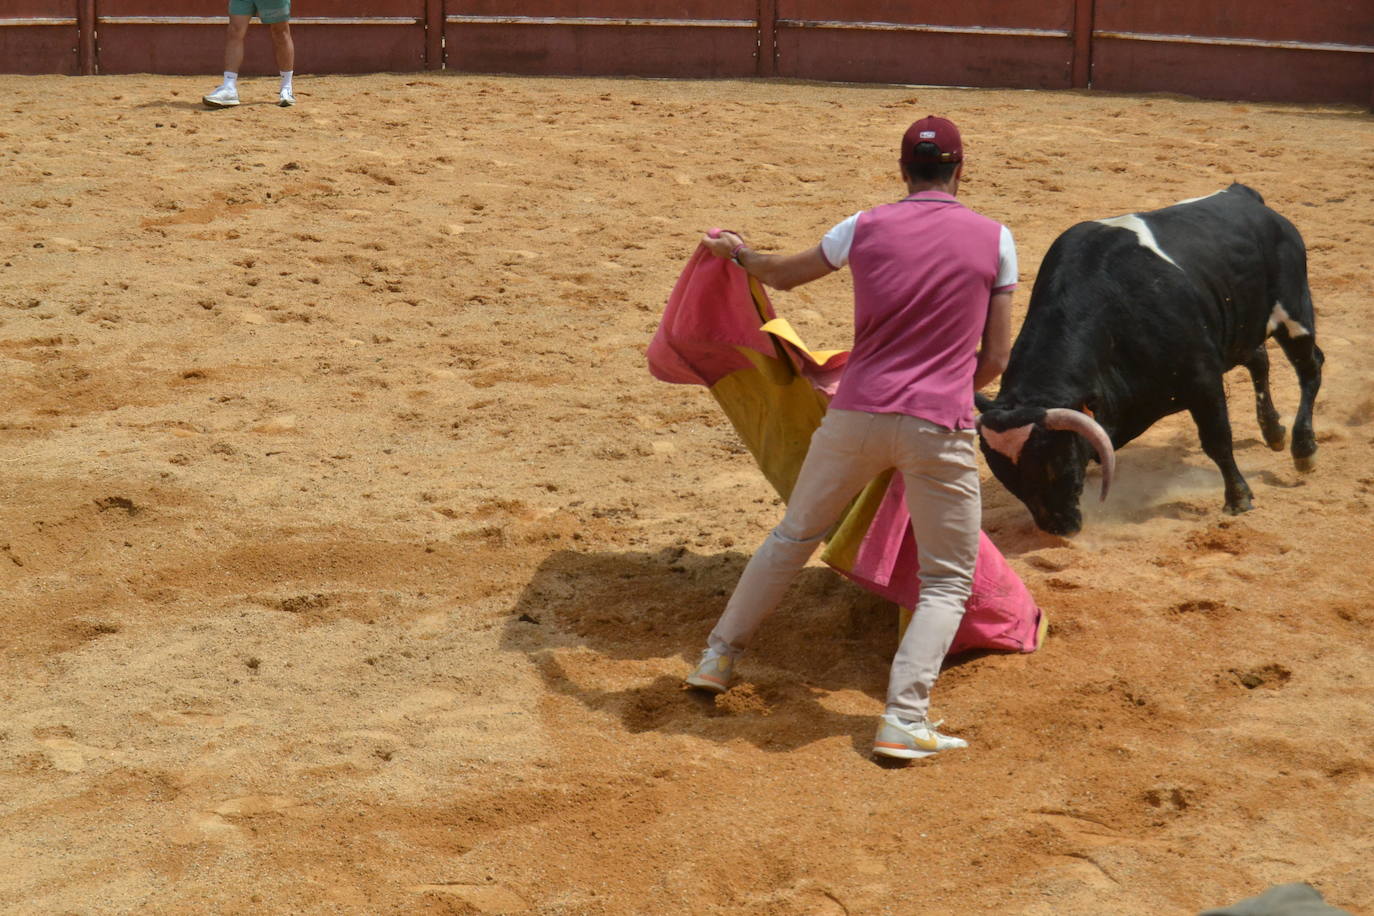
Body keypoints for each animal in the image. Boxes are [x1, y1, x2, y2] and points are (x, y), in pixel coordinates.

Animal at [978, 181, 1319, 532]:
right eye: (1006, 476)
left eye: (1055, 460)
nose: (1058, 527)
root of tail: (1243, 195)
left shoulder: (1203, 380)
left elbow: (1217, 440)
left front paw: (1238, 498)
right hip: (1243, 326)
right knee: (1259, 360)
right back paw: (1273, 431)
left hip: (1295, 315)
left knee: (1310, 369)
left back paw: (1303, 448)